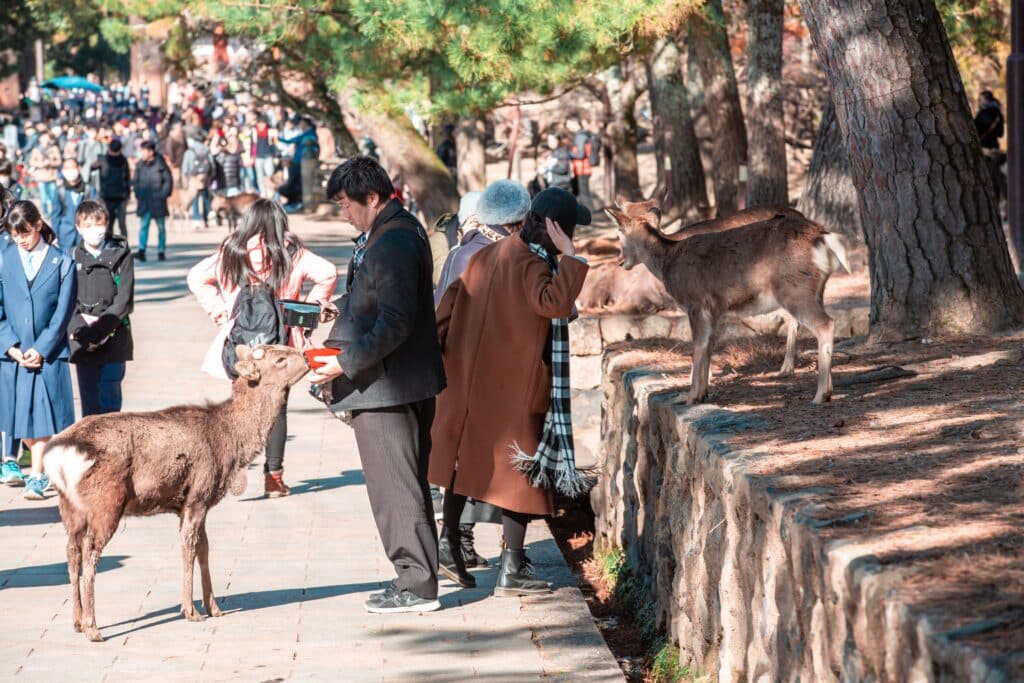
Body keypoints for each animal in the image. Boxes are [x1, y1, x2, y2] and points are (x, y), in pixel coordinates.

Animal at [43, 345, 310, 642]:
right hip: (105, 502)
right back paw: (93, 627)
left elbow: (205, 549)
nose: (307, 357)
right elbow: (189, 547)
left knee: (72, 552)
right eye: (280, 359)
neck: (229, 442)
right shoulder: (198, 494)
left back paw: (77, 621)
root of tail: (58, 455)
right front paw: (190, 611)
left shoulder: (195, 503)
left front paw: (214, 607)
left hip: (69, 508)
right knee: (90, 554)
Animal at [605, 197, 850, 405]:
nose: (621, 261)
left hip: (795, 290)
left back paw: (820, 394)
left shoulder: (695, 303)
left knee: (825, 324)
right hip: (815, 290)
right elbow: (709, 347)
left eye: (619, 232)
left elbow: (698, 346)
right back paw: (826, 389)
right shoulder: (717, 310)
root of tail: (822, 237)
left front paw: (690, 396)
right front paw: (702, 393)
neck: (668, 261)